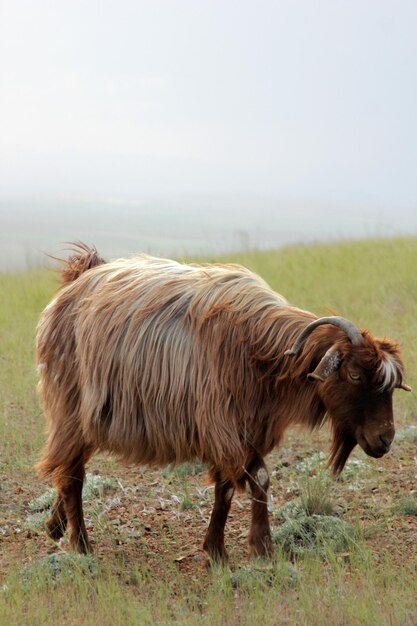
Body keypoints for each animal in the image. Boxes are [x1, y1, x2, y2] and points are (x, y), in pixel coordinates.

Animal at [36, 243, 410, 556]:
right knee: (72, 476)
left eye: (391, 387)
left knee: (68, 467)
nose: (385, 439)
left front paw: (225, 550)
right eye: (355, 375)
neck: (259, 351)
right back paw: (81, 545)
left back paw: (55, 525)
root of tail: (78, 278)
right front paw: (250, 549)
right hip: (70, 408)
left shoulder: (245, 428)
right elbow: (249, 483)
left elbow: (233, 487)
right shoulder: (223, 428)